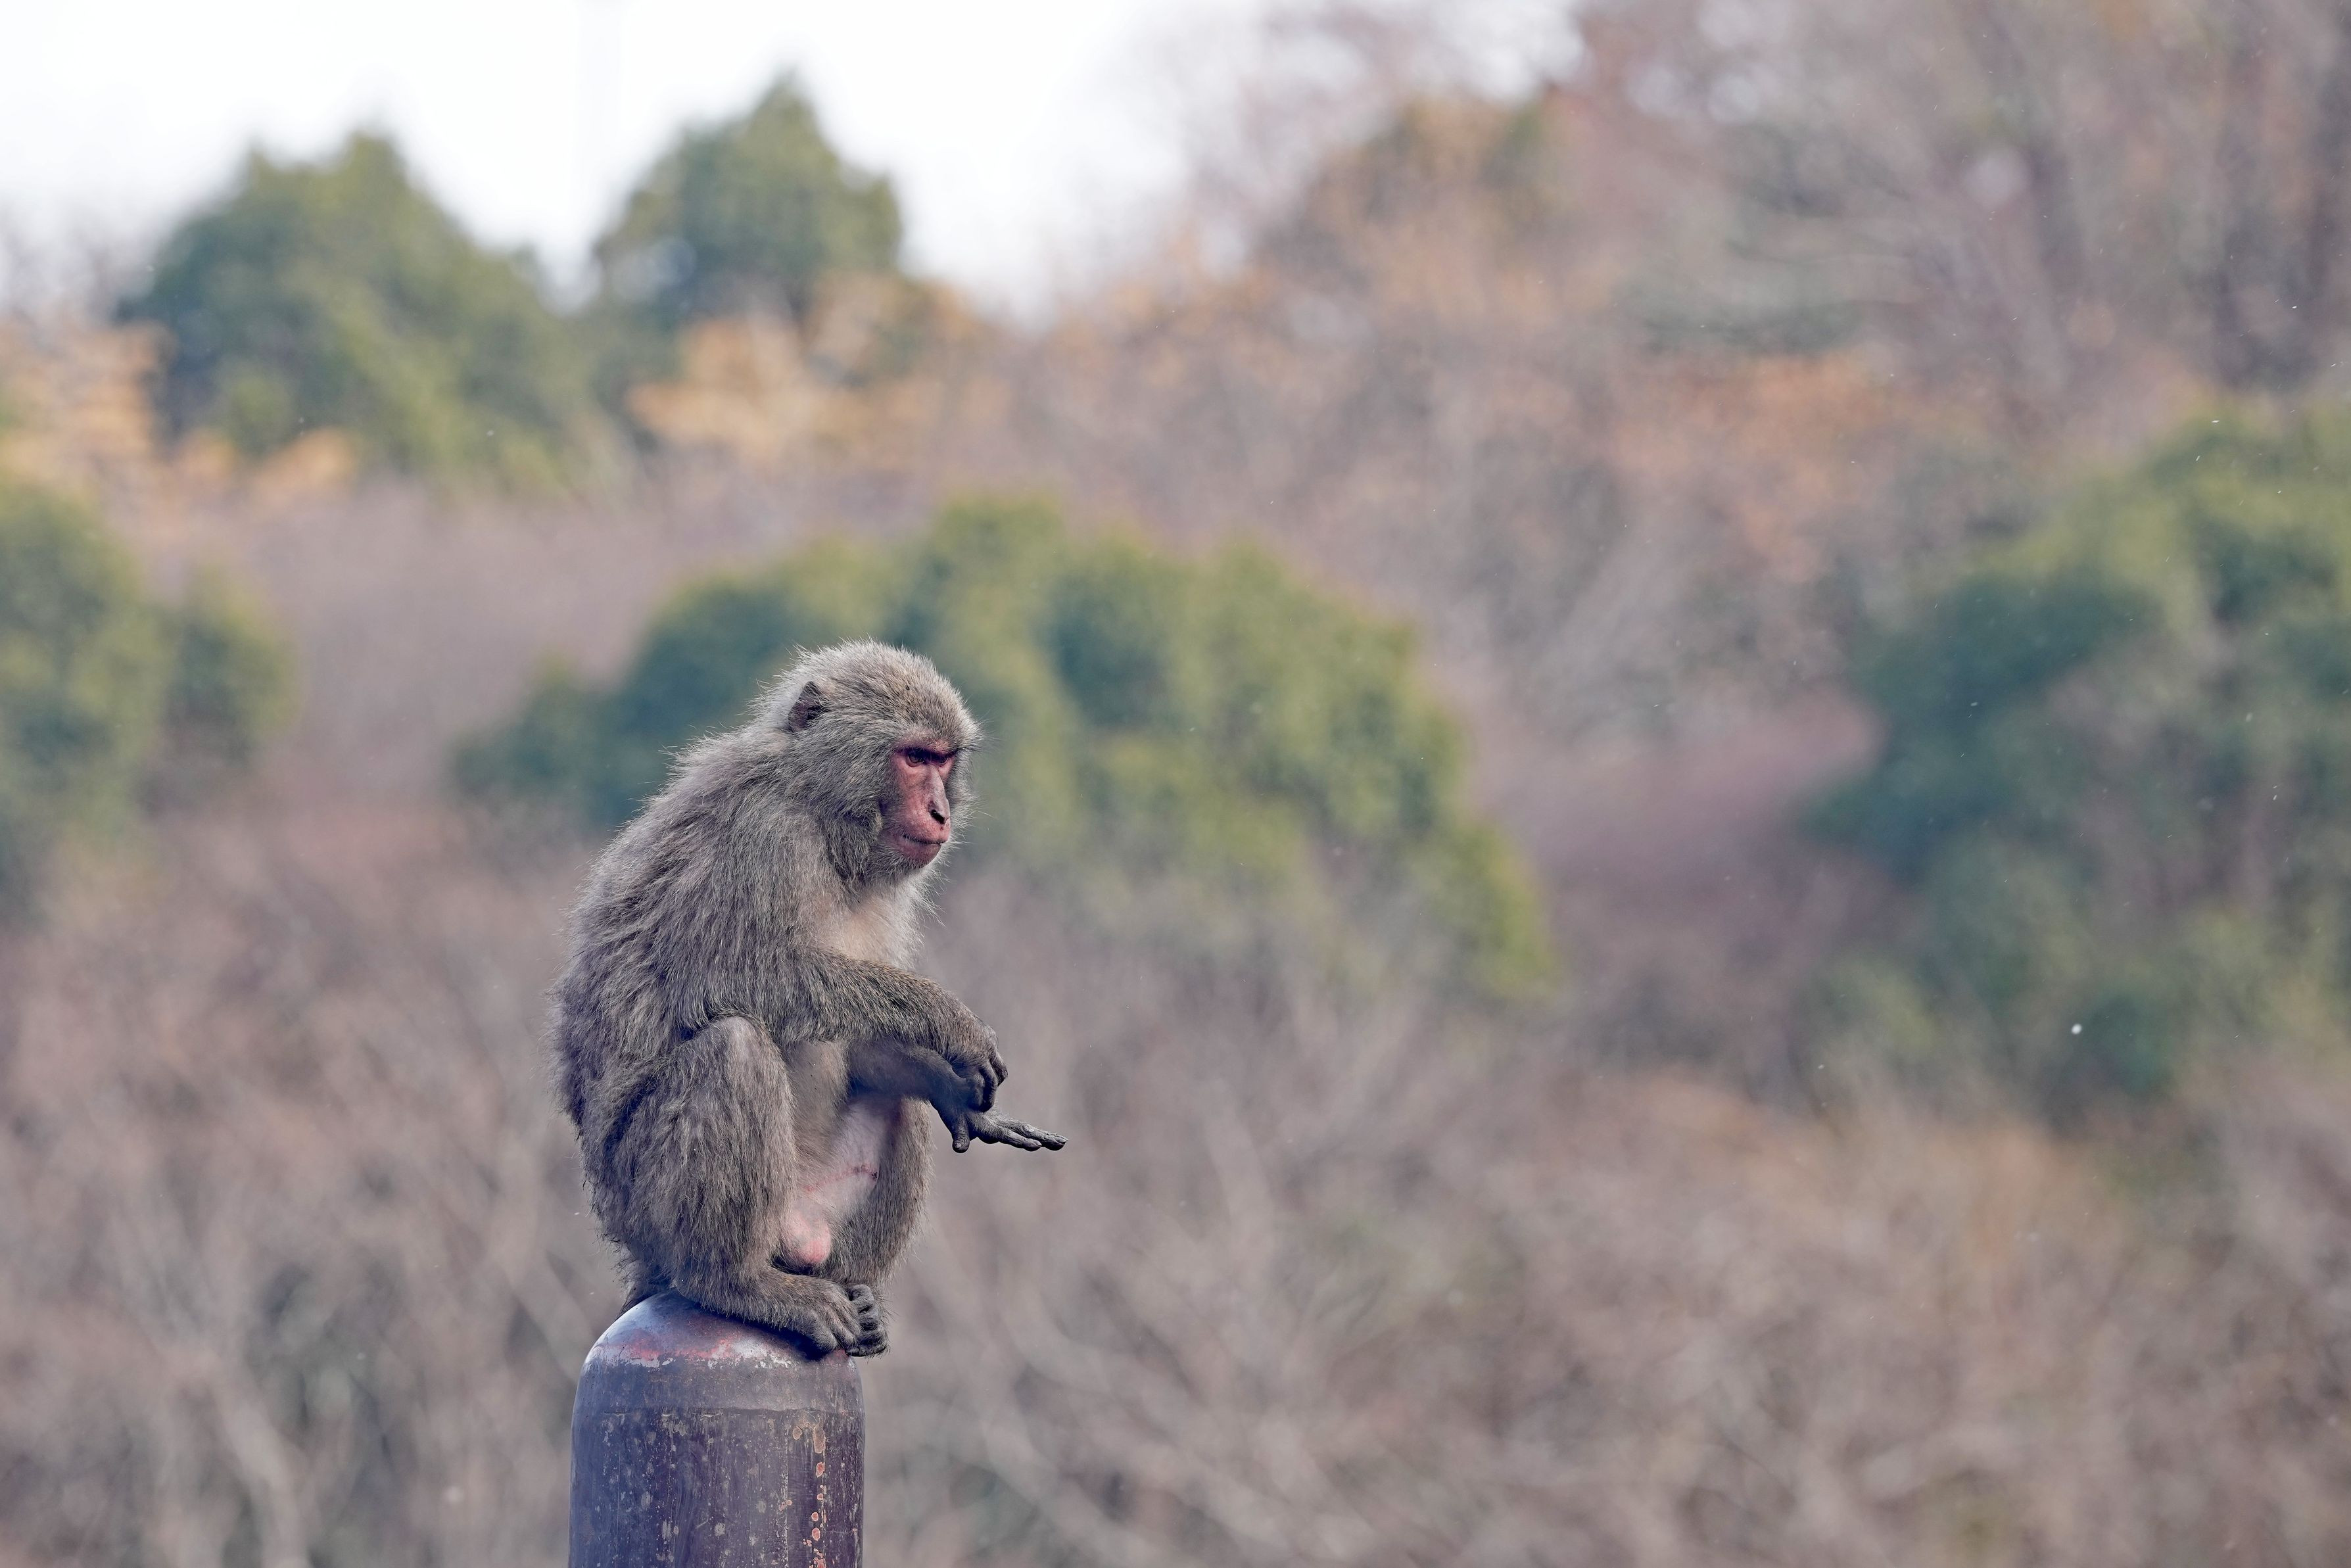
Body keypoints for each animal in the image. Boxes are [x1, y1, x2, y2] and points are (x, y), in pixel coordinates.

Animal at [552, 639, 1064, 1357]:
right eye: (913, 758)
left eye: (943, 760)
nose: (941, 812)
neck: (825, 816)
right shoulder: (764, 835)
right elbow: (730, 976)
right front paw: (944, 1020)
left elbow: (859, 1048)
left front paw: (948, 1085)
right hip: (643, 1200)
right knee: (734, 1047)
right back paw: (733, 1281)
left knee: (892, 1104)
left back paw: (856, 1292)